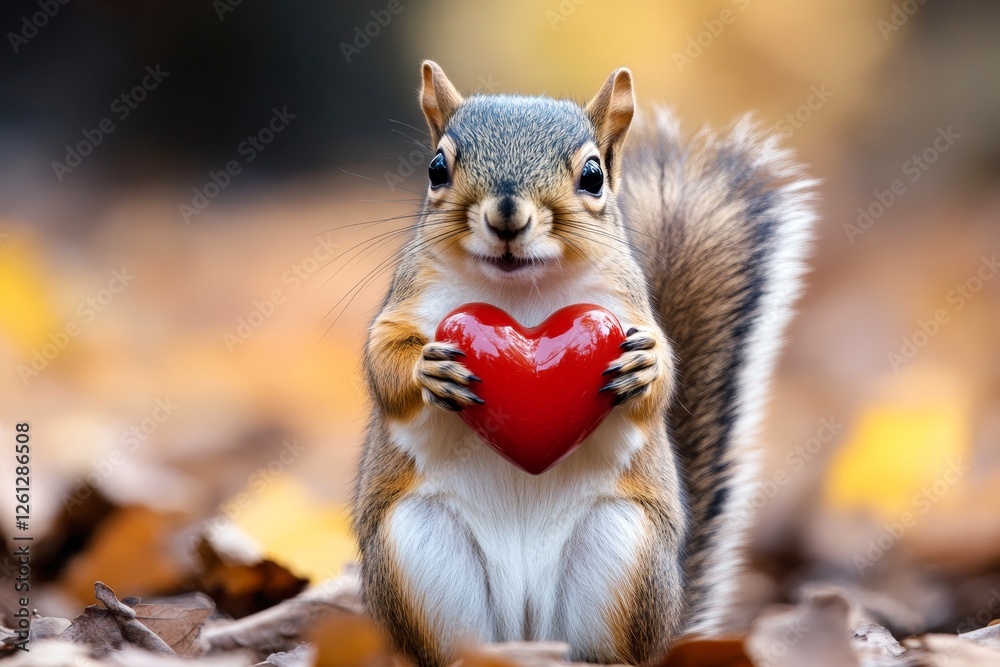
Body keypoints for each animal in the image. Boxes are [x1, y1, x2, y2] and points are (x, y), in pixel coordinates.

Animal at [352, 61, 815, 666]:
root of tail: (527, 630)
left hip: (621, 550)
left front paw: (647, 368)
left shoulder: (629, 307)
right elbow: (383, 359)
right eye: (437, 168)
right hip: (418, 549)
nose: (507, 215)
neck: (522, 290)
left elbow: (665, 378)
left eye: (593, 175)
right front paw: (428, 370)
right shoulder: (405, 302)